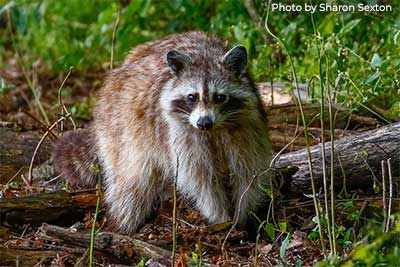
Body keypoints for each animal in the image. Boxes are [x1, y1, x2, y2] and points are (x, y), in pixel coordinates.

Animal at [54, 31, 272, 233]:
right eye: (192, 97)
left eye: (220, 97)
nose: (204, 122)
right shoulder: (181, 133)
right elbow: (202, 180)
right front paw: (220, 216)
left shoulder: (247, 126)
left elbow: (248, 172)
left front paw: (244, 212)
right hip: (120, 129)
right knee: (133, 182)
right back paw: (123, 222)